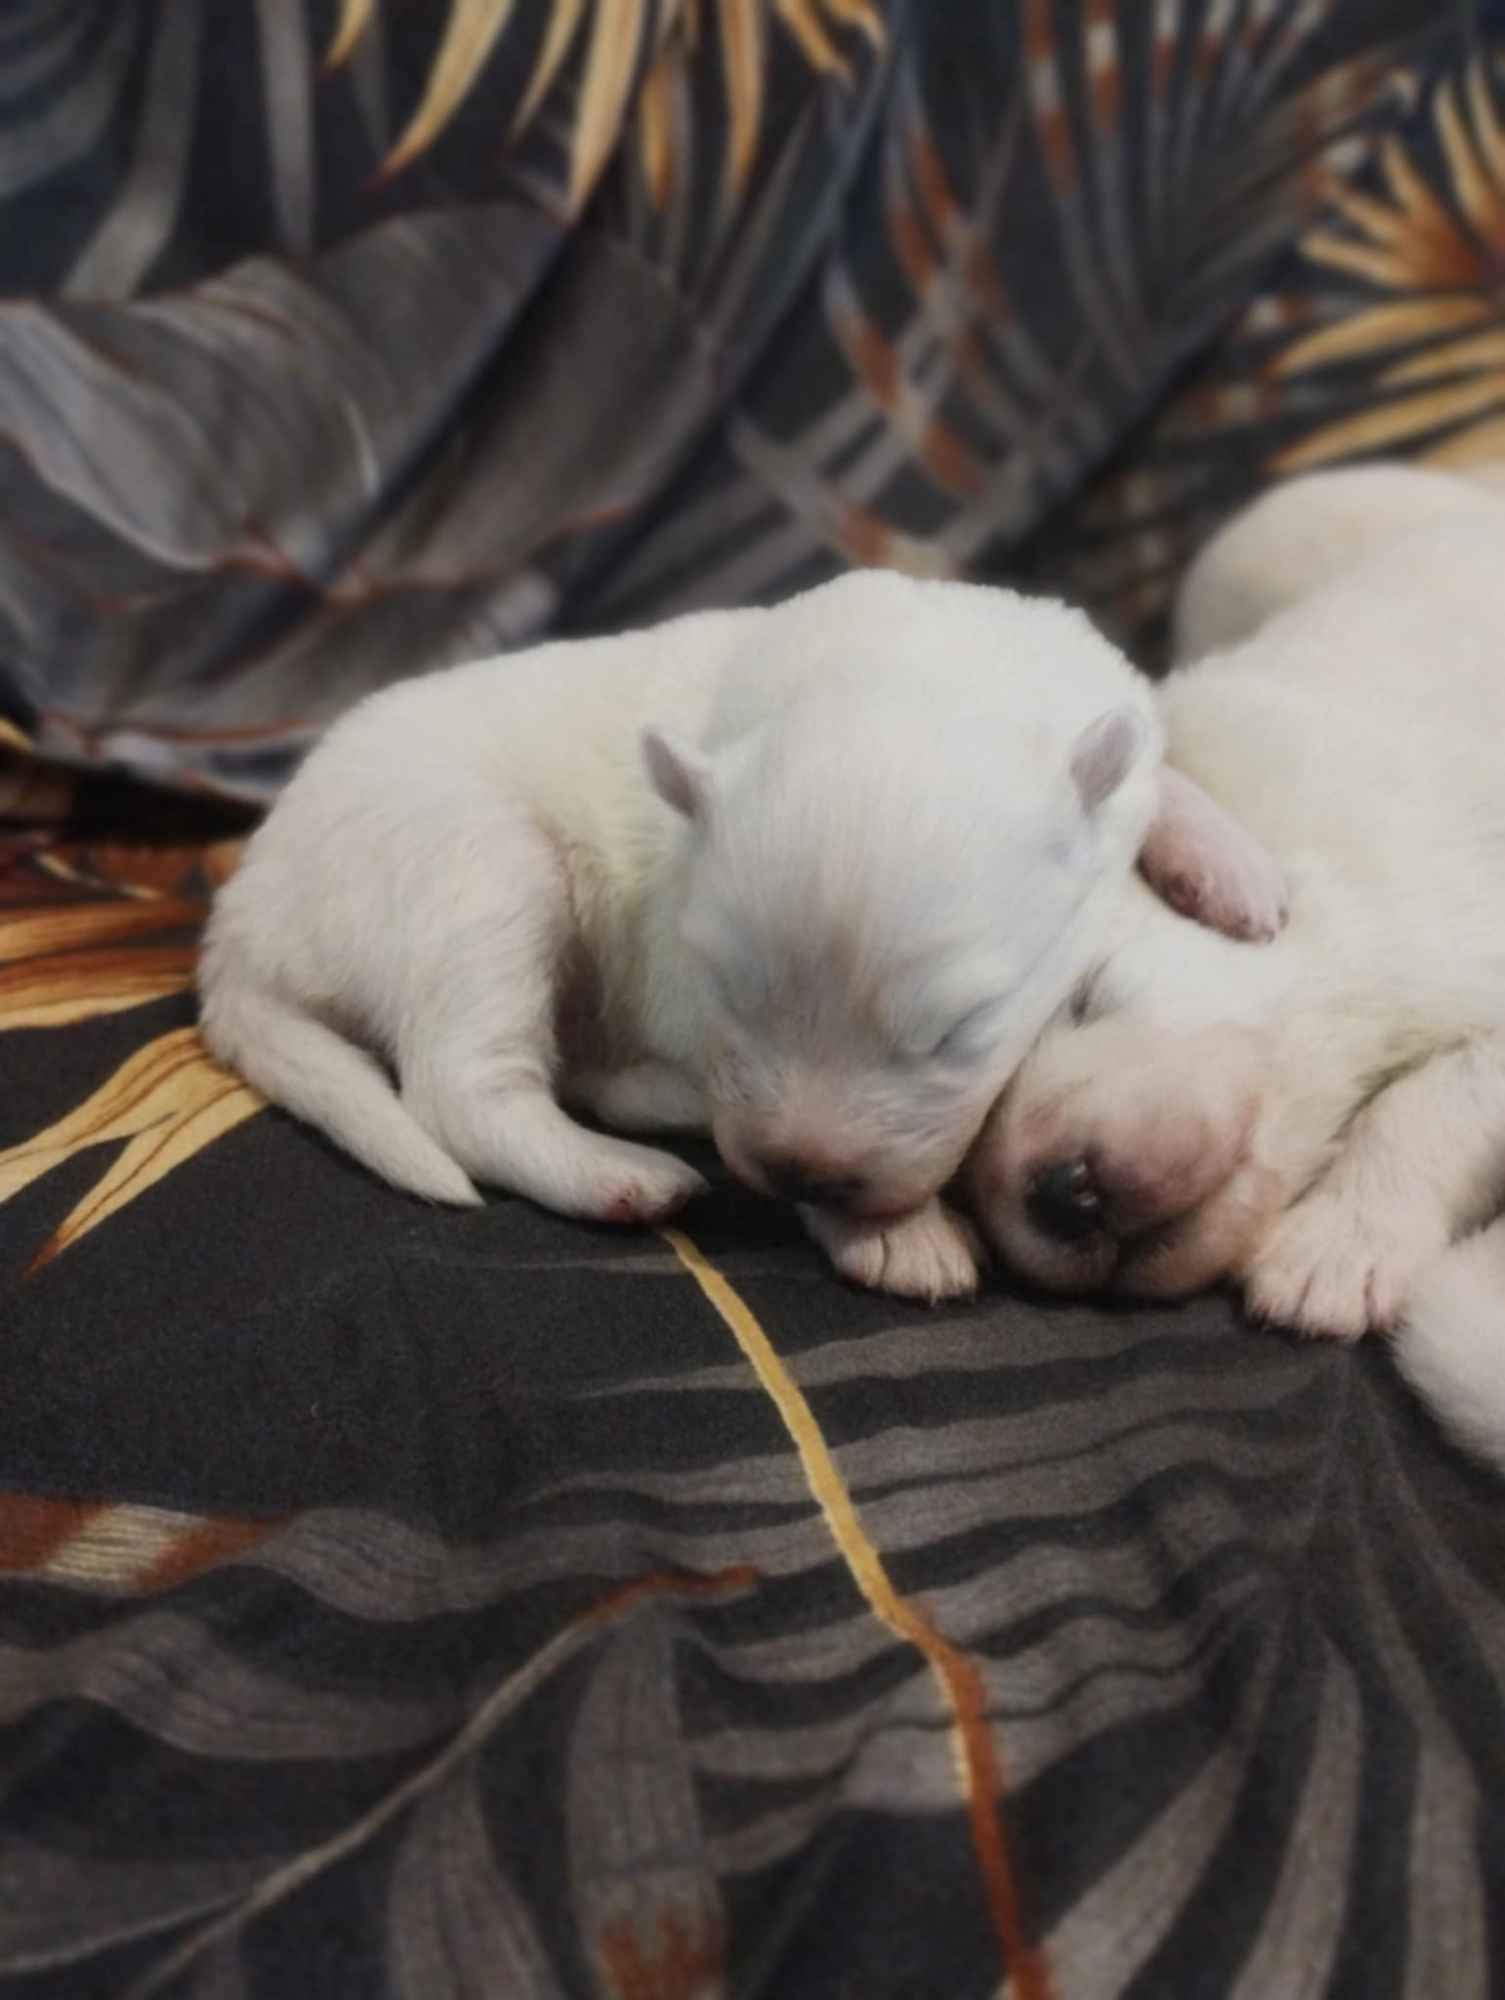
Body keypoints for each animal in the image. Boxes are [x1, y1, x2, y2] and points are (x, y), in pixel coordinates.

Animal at [197, 572, 1280, 1304]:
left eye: (958, 1030)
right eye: (728, 994)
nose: (799, 1173)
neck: (907, 664)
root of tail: (239, 922)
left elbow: (1156, 776)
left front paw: (1231, 868)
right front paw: (892, 1236)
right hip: (472, 870)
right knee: (461, 1087)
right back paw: (614, 1171)